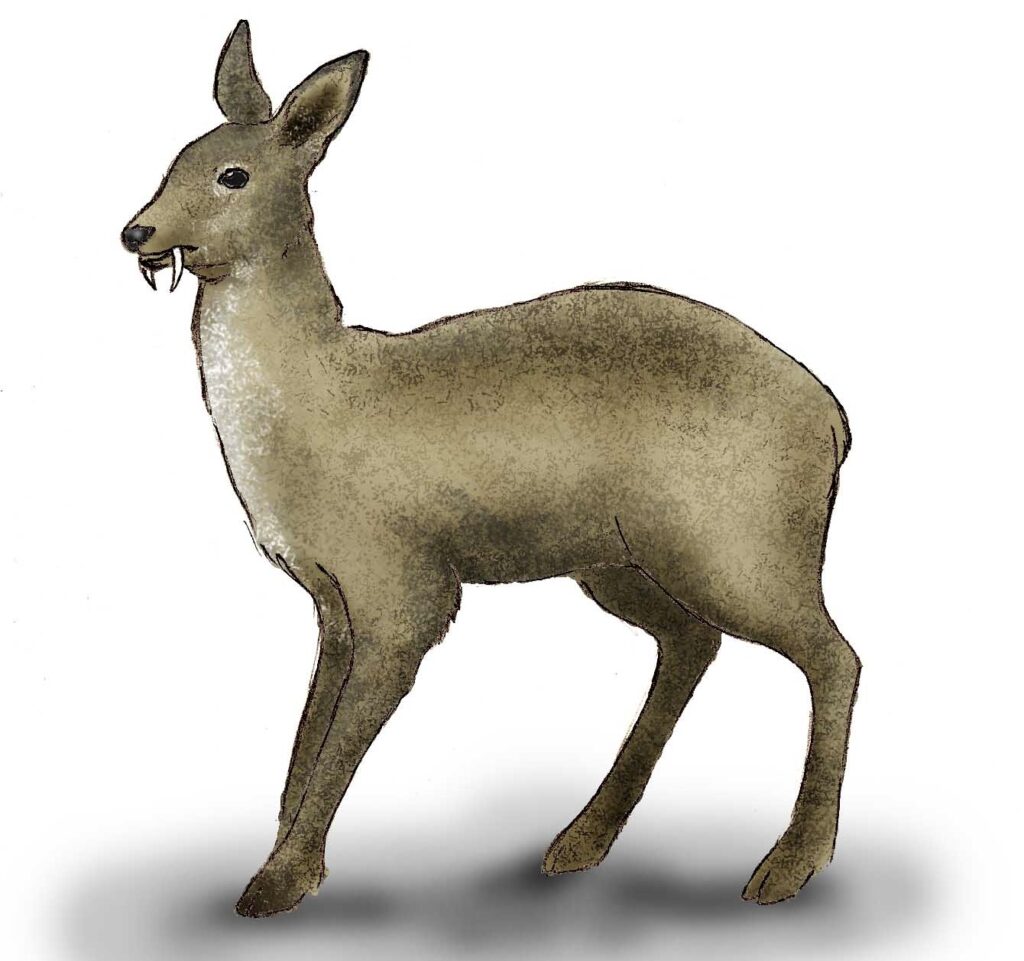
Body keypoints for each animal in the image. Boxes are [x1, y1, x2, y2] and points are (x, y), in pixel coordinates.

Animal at [120, 20, 861, 919]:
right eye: (176, 157)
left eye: (233, 175)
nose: (136, 234)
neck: (321, 393)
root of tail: (835, 420)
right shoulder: (332, 601)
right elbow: (307, 735)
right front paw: (286, 861)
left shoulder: (403, 586)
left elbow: (340, 741)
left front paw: (276, 882)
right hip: (618, 557)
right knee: (693, 642)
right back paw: (580, 842)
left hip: (734, 543)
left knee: (833, 655)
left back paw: (788, 865)